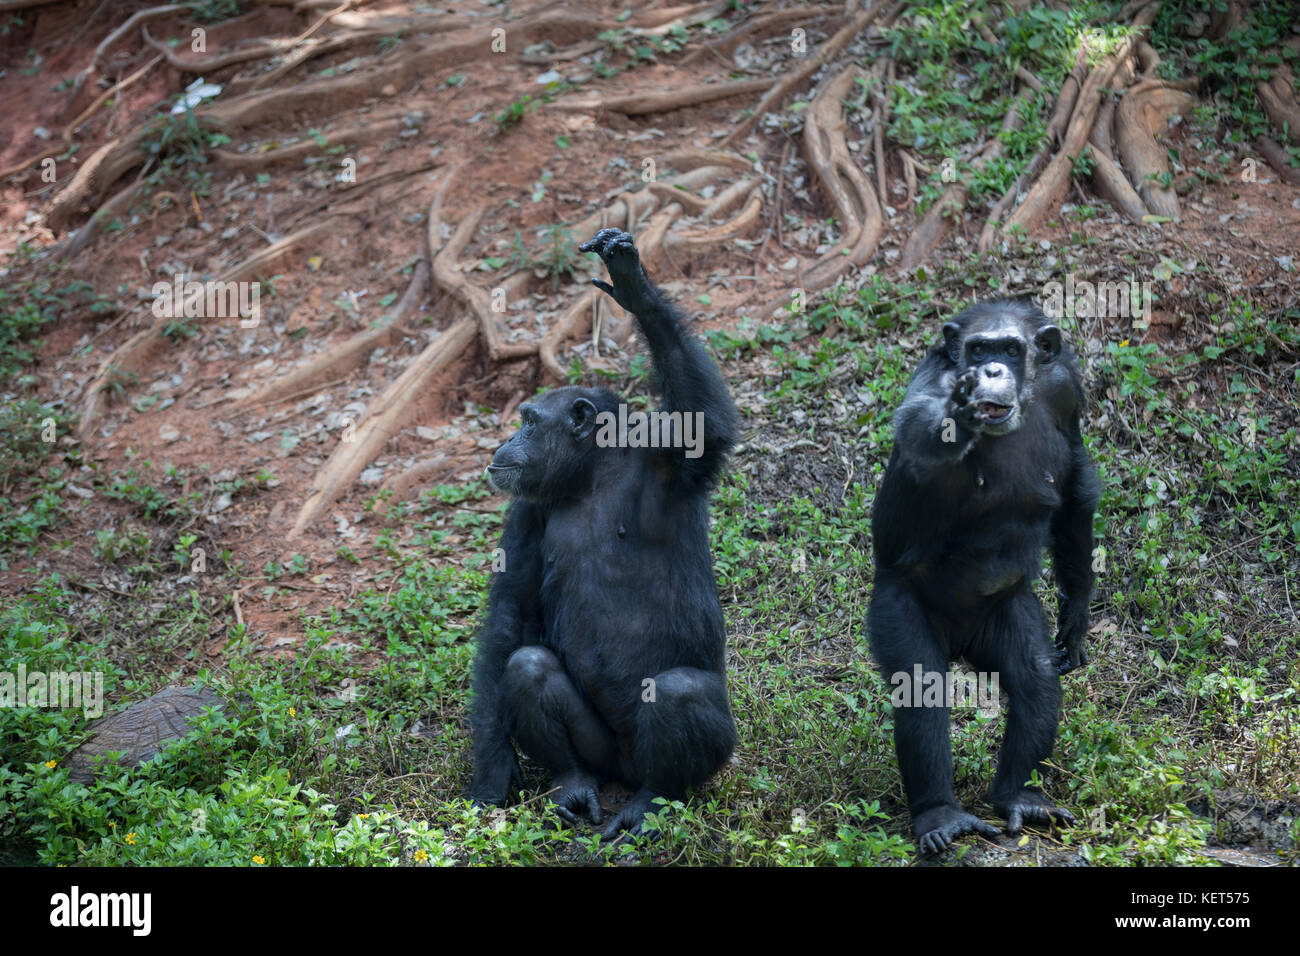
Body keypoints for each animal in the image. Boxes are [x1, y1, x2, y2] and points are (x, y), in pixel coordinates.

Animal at [467, 227, 738, 842]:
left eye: (528, 421)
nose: (504, 440)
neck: (593, 473)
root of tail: (623, 771)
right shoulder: (525, 512)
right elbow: (511, 613)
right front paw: (492, 772)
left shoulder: (671, 461)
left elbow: (705, 424)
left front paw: (636, 289)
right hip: (601, 752)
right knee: (528, 666)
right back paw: (571, 784)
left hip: (675, 754)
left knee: (678, 694)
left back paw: (653, 802)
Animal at [868, 299, 1102, 853]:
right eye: (978, 350)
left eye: (1011, 349)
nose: (992, 369)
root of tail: (960, 646)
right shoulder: (930, 384)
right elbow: (921, 431)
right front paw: (958, 412)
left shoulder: (1065, 386)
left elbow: (1075, 485)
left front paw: (1077, 612)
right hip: (893, 604)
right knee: (920, 689)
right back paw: (940, 816)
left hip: (1004, 612)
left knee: (1035, 681)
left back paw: (1019, 796)